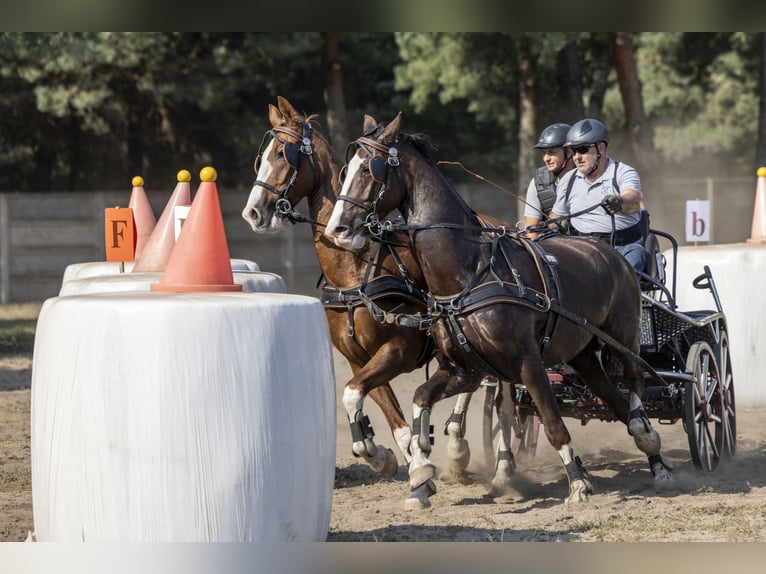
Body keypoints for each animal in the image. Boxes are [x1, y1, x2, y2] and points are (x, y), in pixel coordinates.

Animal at [240, 98, 504, 482]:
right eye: (261, 158)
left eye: (283, 154)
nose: (253, 213)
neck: (354, 272)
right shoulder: (358, 359)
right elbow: (380, 410)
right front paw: (387, 456)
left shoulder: (399, 350)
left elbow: (356, 396)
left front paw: (414, 463)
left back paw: (474, 452)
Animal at [326, 115, 680, 510]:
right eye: (345, 170)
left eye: (369, 169)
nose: (337, 229)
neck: (468, 271)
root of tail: (607, 250)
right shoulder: (462, 369)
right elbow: (417, 402)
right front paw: (419, 475)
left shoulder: (527, 361)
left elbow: (553, 423)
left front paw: (579, 484)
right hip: (584, 354)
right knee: (613, 398)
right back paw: (655, 459)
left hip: (623, 335)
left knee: (634, 383)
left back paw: (649, 443)